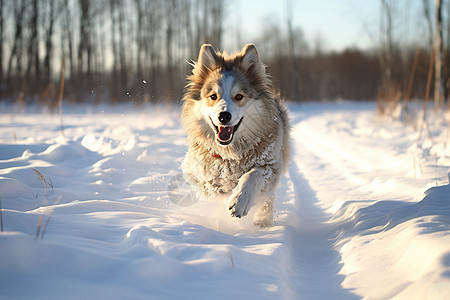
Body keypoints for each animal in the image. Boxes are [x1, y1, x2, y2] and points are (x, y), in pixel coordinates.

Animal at [181, 44, 290, 227]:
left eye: (239, 96)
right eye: (213, 96)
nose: (224, 116)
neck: (231, 153)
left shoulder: (272, 165)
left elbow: (254, 173)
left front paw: (239, 200)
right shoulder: (196, 172)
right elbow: (213, 188)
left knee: (267, 200)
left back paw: (262, 220)